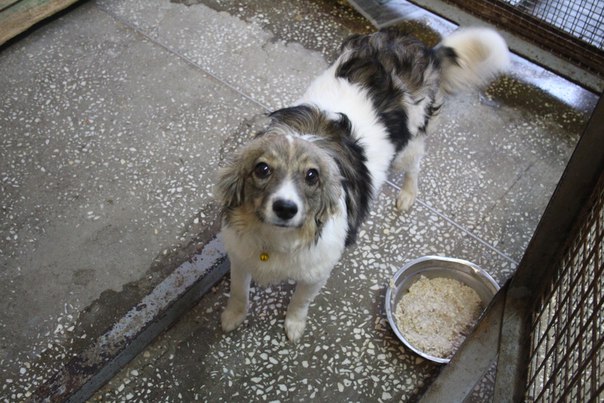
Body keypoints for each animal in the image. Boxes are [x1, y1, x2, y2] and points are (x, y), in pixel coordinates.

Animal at [215, 27, 510, 342]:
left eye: (312, 176)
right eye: (262, 169)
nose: (285, 208)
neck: (277, 238)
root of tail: (418, 46)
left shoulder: (316, 273)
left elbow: (299, 301)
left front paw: (294, 326)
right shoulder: (240, 257)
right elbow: (239, 292)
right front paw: (233, 317)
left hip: (407, 149)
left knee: (415, 167)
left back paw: (407, 195)